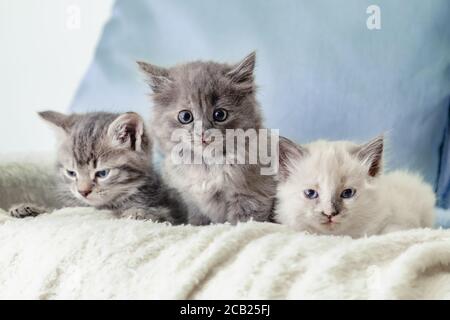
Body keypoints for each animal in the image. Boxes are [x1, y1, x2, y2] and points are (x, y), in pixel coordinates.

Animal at [10, 111, 186, 224]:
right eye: (71, 173)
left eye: (102, 173)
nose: (83, 192)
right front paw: (27, 209)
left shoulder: (174, 212)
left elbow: (161, 214)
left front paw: (138, 212)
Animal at [138, 52, 278, 224]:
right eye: (185, 116)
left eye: (220, 114)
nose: (203, 133)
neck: (207, 166)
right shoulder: (191, 202)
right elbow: (196, 221)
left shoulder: (252, 197)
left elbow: (242, 222)